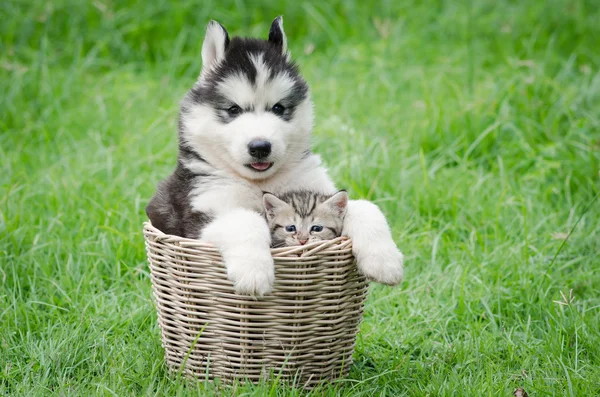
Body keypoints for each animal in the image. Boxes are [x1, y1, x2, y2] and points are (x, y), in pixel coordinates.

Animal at [148, 17, 406, 296]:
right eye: (233, 109)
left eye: (279, 108)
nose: (260, 146)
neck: (260, 182)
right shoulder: (197, 216)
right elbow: (244, 218)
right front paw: (253, 272)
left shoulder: (319, 191)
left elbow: (366, 206)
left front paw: (385, 261)